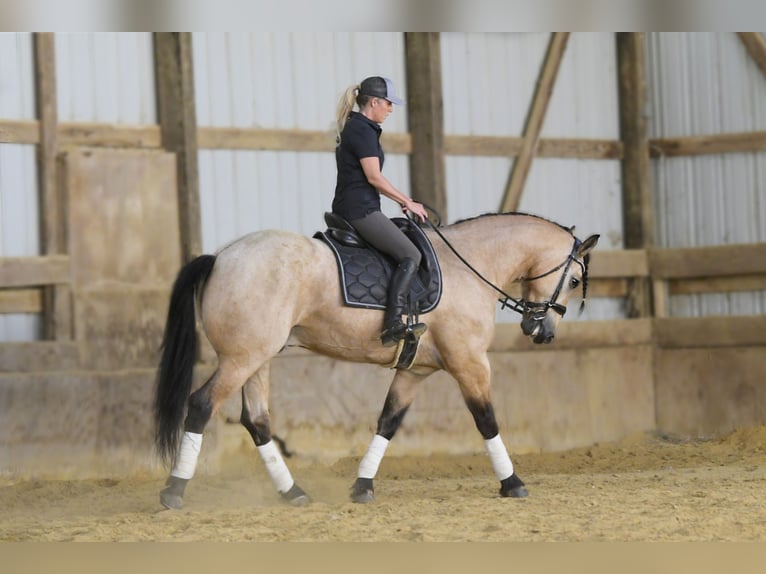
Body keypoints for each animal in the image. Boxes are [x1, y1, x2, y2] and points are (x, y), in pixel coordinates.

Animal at [154, 212, 600, 508]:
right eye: (575, 280)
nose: (541, 332)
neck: (470, 267)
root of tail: (221, 257)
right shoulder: (470, 362)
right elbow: (486, 420)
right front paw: (512, 482)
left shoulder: (416, 371)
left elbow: (388, 422)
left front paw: (362, 486)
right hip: (241, 359)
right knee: (201, 404)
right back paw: (174, 491)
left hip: (257, 358)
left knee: (257, 420)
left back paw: (293, 492)